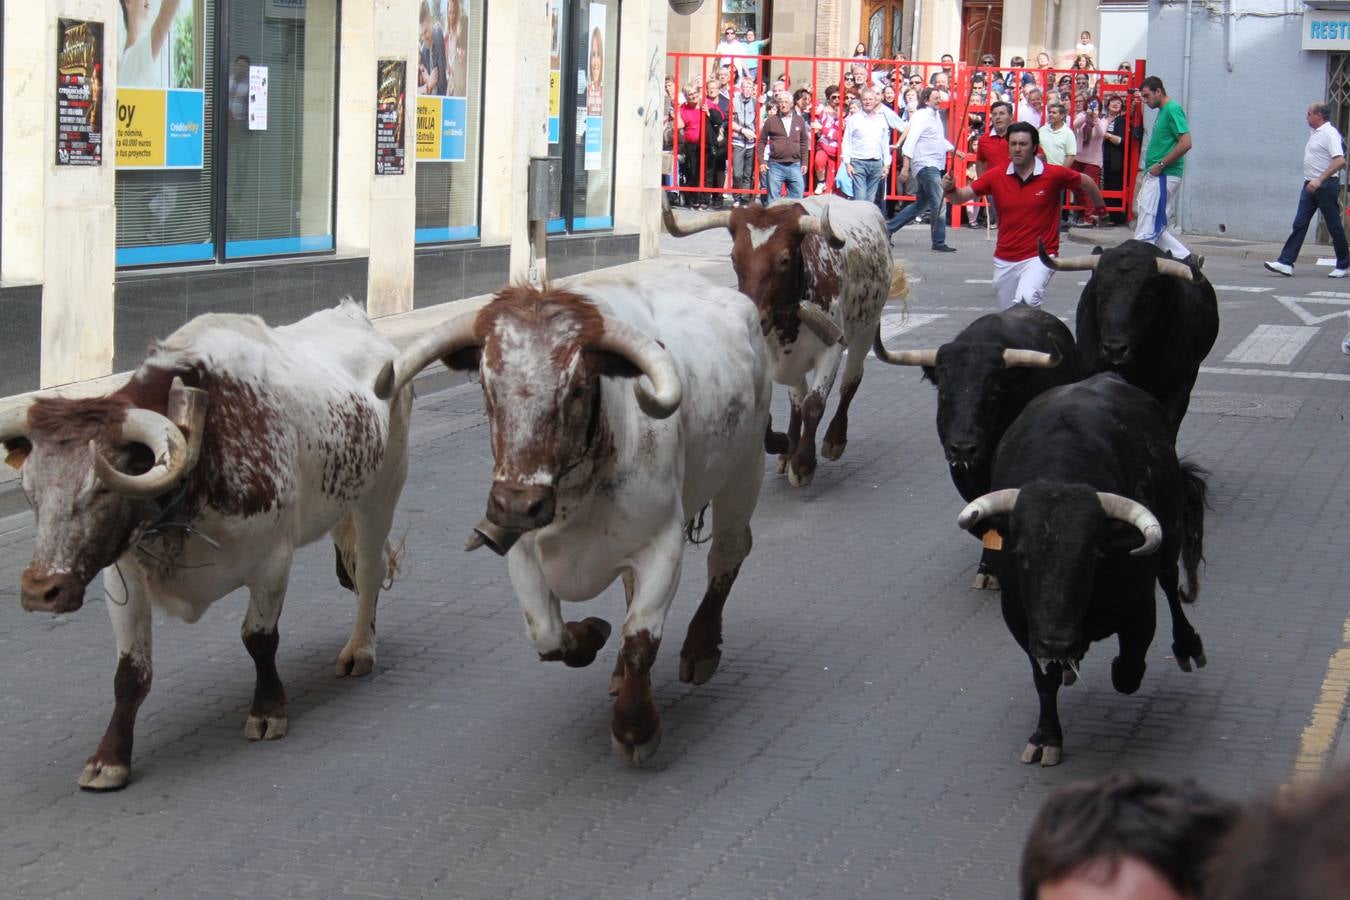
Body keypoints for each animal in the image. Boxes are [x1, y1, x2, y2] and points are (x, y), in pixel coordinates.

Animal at [869, 306, 1080, 593]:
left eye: (994, 391)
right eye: (943, 391)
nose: (963, 448)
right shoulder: (961, 472)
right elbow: (981, 511)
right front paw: (988, 568)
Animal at [955, 372, 1209, 766]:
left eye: (1093, 555)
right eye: (1021, 554)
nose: (1057, 641)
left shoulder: (1139, 611)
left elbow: (1128, 670)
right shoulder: (1023, 622)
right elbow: (1044, 680)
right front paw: (1046, 737)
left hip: (1170, 536)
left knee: (1169, 584)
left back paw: (1187, 646)